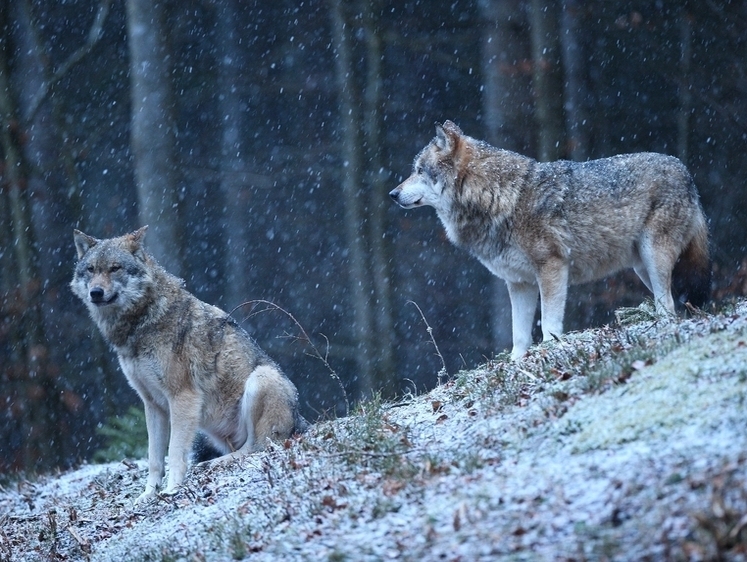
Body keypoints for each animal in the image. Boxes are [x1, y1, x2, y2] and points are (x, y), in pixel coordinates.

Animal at [68, 225, 306, 500]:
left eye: (115, 268)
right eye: (91, 269)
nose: (95, 292)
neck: (142, 321)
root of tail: (300, 420)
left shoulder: (182, 397)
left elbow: (174, 452)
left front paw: (172, 490)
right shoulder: (152, 404)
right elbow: (154, 458)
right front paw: (148, 495)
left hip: (261, 378)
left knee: (257, 447)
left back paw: (213, 463)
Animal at [392, 121, 712, 358]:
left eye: (419, 170)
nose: (392, 194)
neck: (499, 197)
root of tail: (686, 171)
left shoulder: (552, 267)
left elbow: (548, 321)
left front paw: (550, 347)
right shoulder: (518, 283)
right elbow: (519, 335)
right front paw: (516, 363)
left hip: (653, 258)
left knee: (668, 305)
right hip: (642, 267)